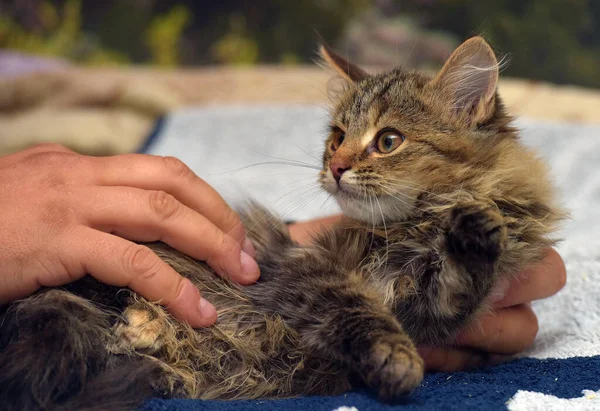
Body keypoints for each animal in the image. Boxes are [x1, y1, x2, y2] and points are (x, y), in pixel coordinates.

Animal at [0, 37, 564, 410]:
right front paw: (396, 362)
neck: (413, 224)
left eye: (388, 141)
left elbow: (462, 282)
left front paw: (476, 229)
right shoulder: (304, 271)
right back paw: (144, 325)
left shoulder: (431, 305)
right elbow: (361, 313)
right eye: (337, 138)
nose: (336, 168)